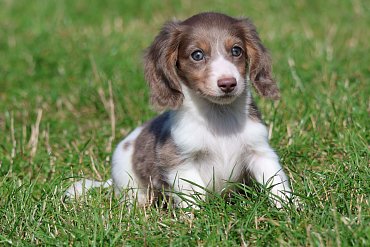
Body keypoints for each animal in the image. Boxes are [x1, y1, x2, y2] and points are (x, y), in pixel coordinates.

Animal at [67, 12, 292, 208]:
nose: (228, 83)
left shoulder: (260, 152)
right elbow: (195, 194)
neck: (219, 117)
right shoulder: (179, 161)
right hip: (128, 181)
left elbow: (277, 184)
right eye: (197, 55)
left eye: (237, 50)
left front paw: (291, 209)